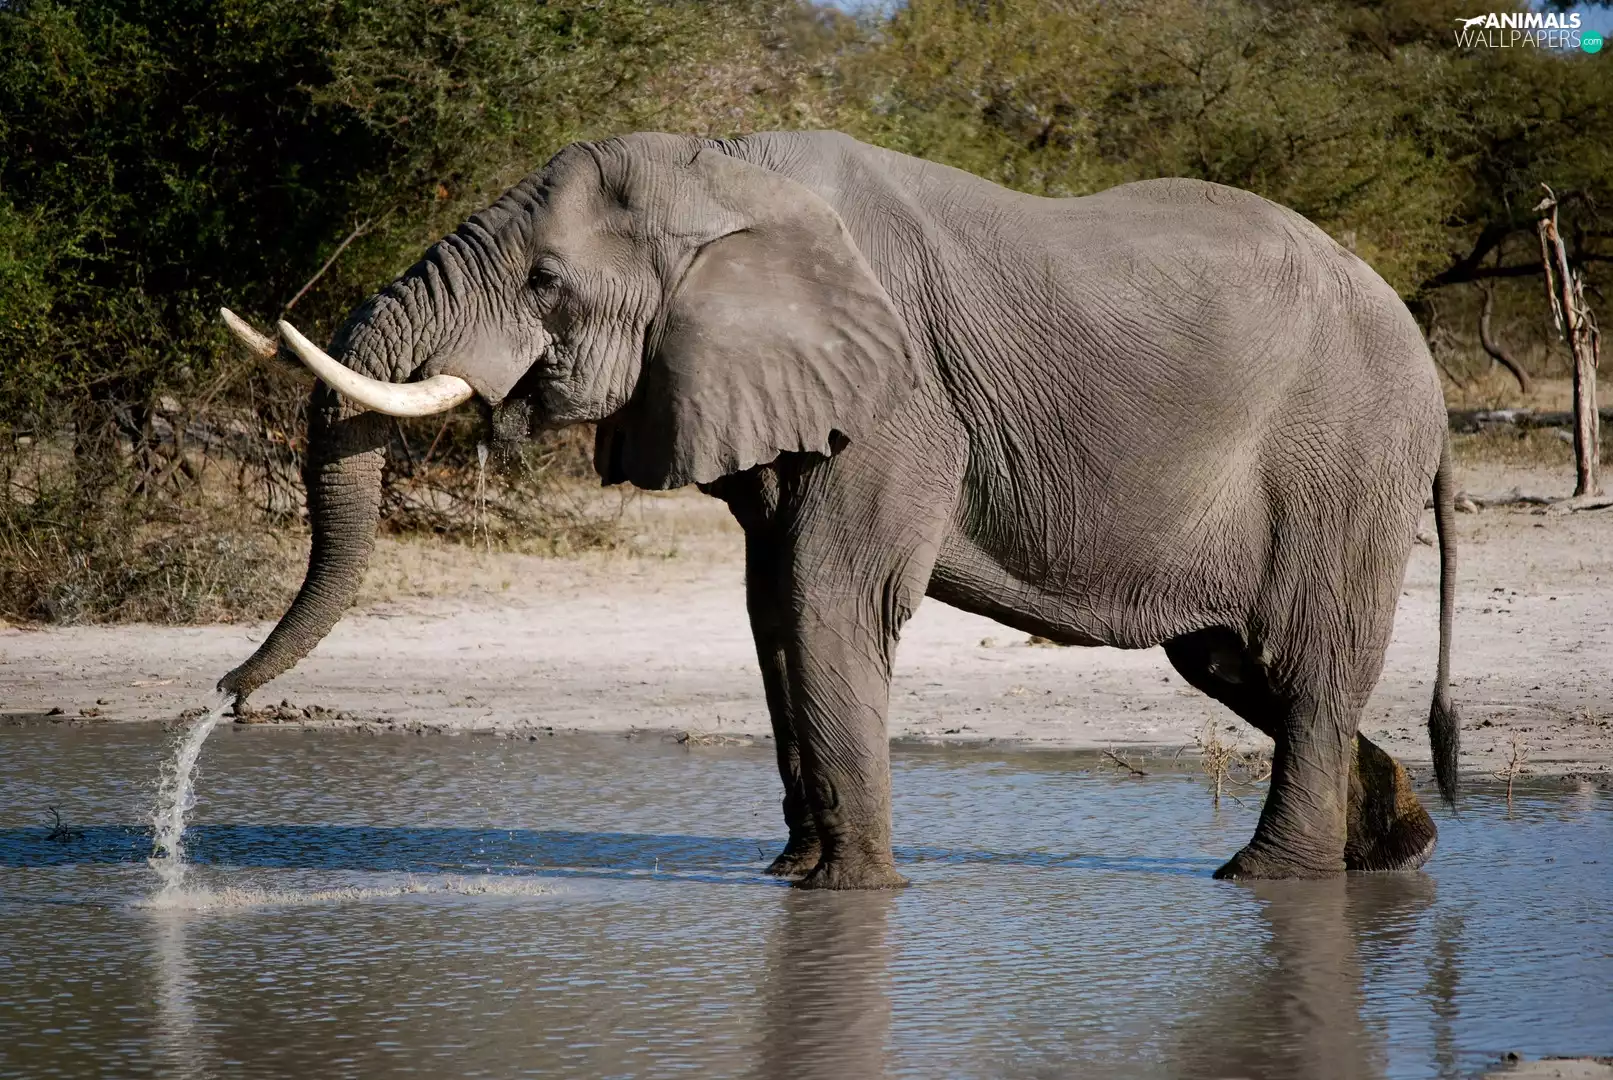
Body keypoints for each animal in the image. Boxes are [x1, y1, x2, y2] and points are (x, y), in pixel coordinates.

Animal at [219, 129, 1460, 889]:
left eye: (545, 284)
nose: (225, 697)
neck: (722, 169)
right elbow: (772, 604)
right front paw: (791, 881)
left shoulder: (898, 395)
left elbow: (829, 598)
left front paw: (850, 891)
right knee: (1231, 663)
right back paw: (1392, 846)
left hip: (1345, 458)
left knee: (1302, 662)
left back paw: (1266, 878)